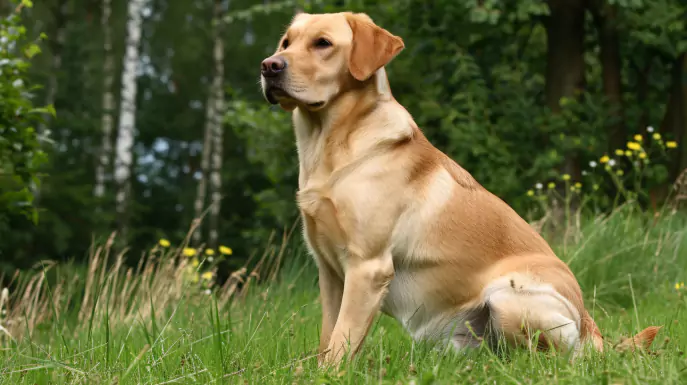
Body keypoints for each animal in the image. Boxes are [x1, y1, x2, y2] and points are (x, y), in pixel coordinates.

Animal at [260, 11, 660, 366]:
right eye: (286, 42)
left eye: (323, 43)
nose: (268, 66)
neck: (330, 146)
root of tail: (592, 325)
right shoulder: (329, 272)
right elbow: (329, 337)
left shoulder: (368, 267)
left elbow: (341, 341)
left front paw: (328, 374)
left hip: (507, 297)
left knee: (558, 358)